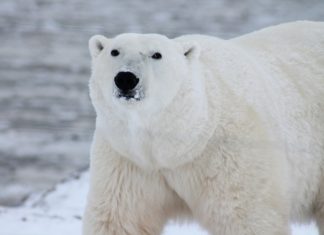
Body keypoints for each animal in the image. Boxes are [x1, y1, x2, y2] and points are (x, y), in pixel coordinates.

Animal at [83, 20, 324, 235]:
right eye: (114, 51)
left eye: (156, 54)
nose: (126, 78)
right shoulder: (128, 160)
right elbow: (120, 219)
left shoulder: (228, 154)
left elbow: (246, 217)